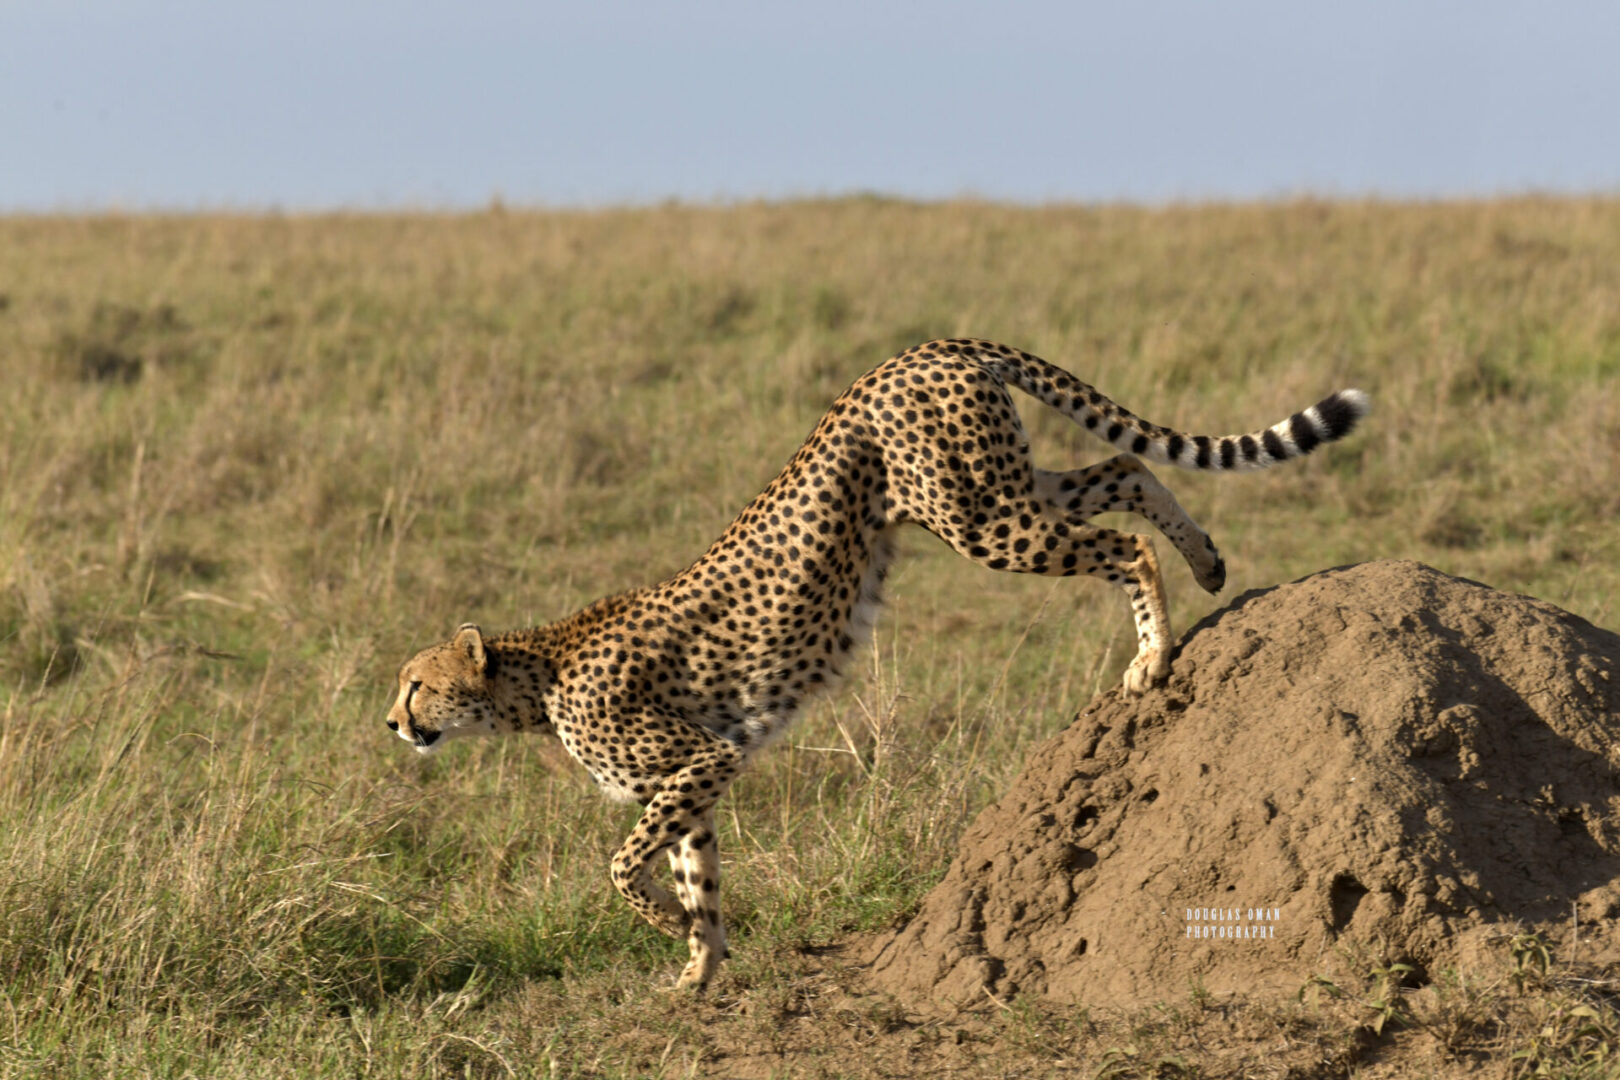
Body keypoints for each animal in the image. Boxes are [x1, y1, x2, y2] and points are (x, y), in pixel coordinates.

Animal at [388, 335, 1367, 990]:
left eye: (416, 682)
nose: (394, 723)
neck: (534, 678)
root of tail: (917, 349)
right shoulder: (701, 780)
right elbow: (697, 877)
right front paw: (700, 972)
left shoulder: (701, 758)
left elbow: (625, 866)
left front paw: (670, 938)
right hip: (1000, 486)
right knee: (1123, 469)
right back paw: (1208, 563)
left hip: (979, 516)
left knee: (1123, 544)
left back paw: (1152, 656)